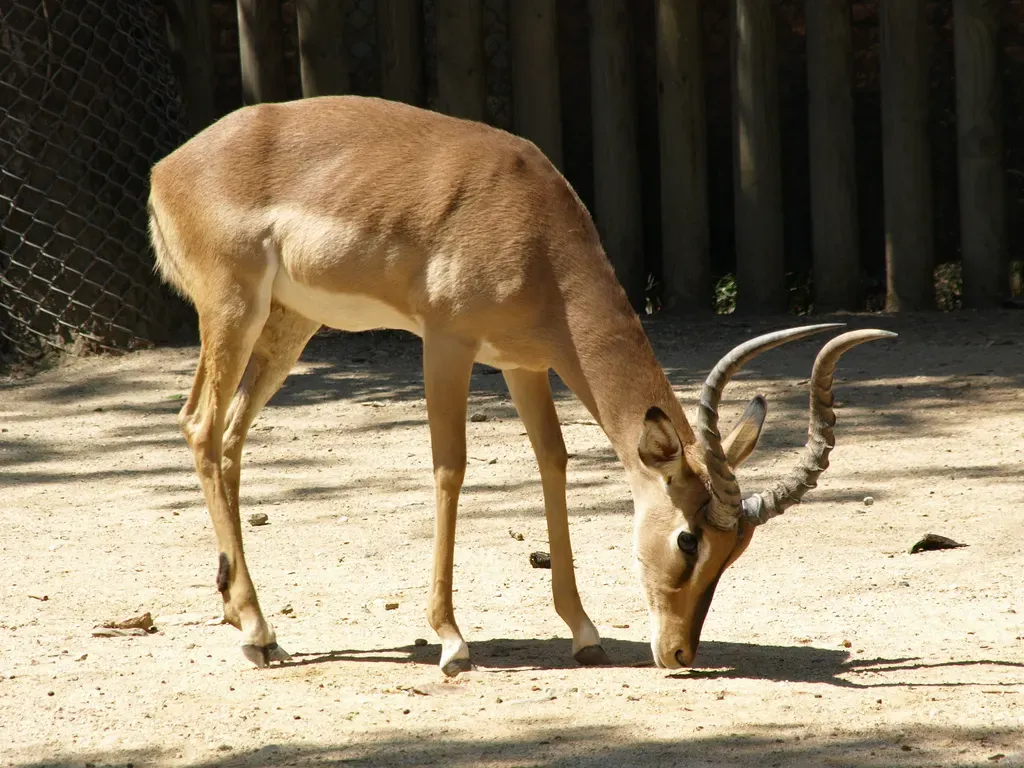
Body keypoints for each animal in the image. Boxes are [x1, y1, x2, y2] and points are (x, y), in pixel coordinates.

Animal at [148, 94, 895, 675]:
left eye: (737, 550)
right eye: (689, 539)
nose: (681, 653)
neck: (530, 224)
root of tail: (166, 167)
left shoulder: (524, 364)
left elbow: (552, 462)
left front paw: (586, 633)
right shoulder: (446, 344)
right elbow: (450, 467)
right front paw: (452, 642)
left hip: (290, 323)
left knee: (231, 436)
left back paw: (245, 619)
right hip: (233, 311)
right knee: (200, 425)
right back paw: (258, 634)